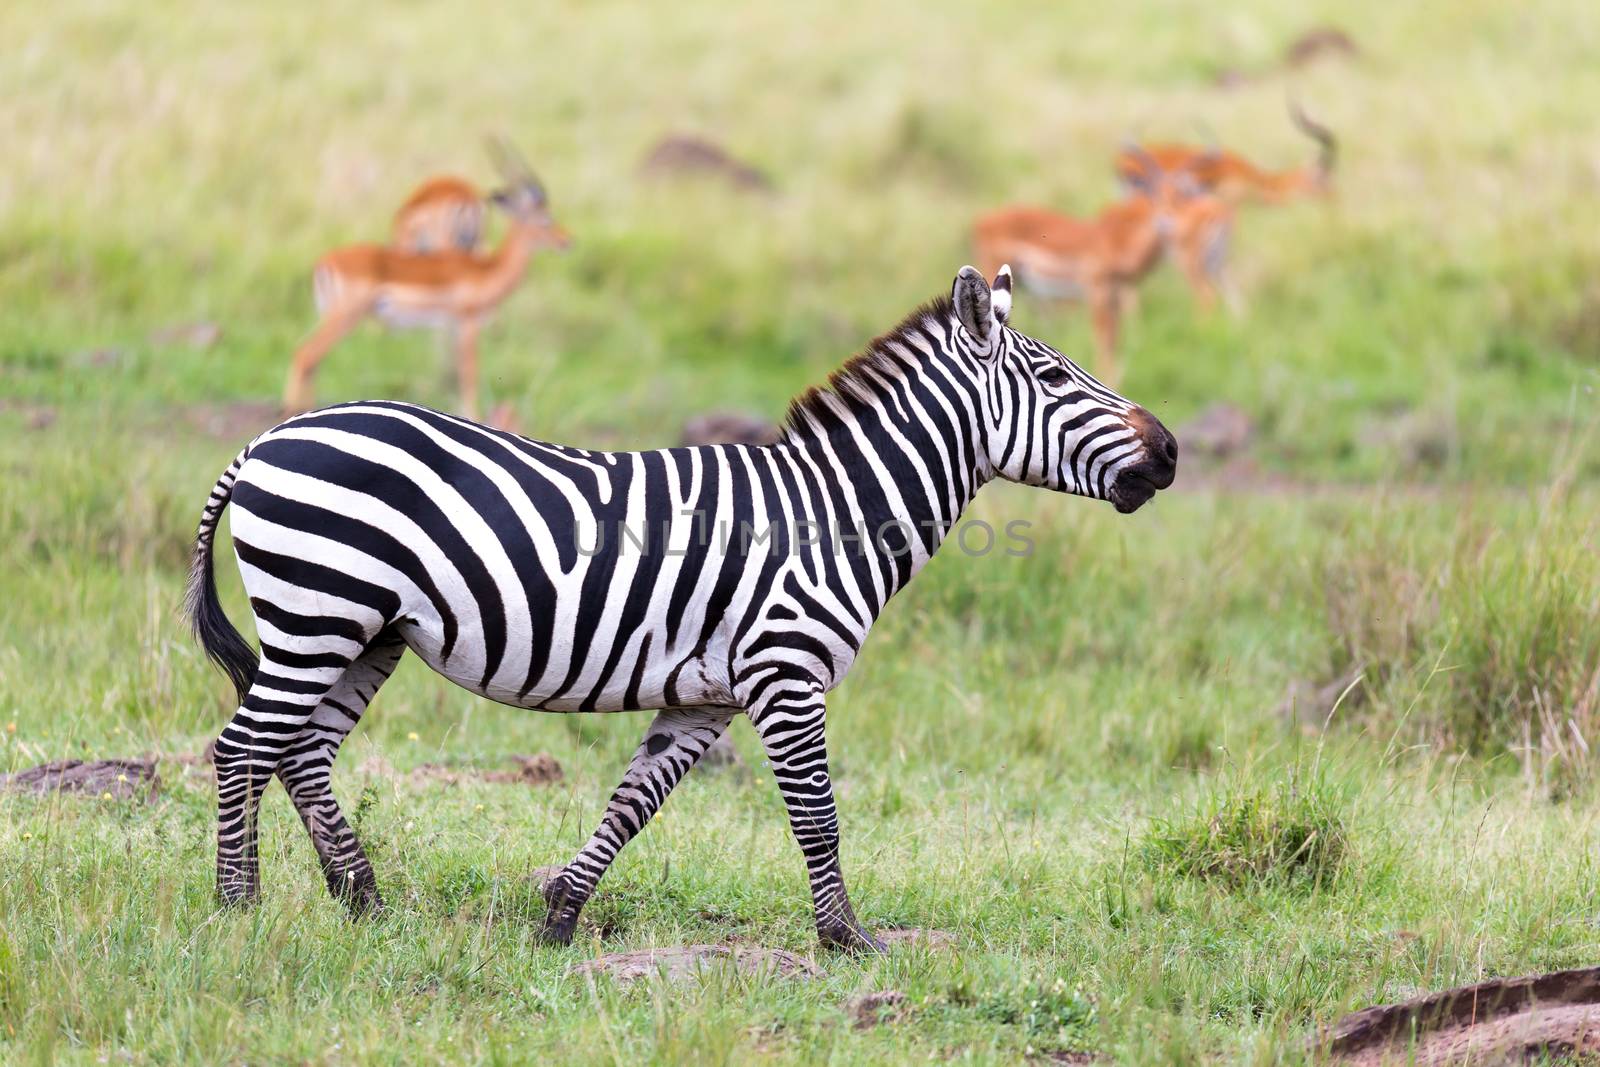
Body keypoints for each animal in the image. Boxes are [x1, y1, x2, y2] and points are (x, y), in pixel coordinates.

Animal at [190, 267, 1177, 953]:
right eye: (1056, 379)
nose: (1169, 451)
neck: (833, 511)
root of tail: (265, 438)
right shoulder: (786, 676)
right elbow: (817, 812)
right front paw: (847, 939)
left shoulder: (705, 697)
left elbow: (634, 804)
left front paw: (558, 919)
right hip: (318, 613)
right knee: (242, 747)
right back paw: (238, 907)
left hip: (367, 631)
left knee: (302, 752)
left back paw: (365, 901)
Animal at [284, 140, 572, 422]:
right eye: (546, 219)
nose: (567, 241)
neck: (487, 270)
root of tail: (324, 262)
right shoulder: (467, 323)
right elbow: (469, 373)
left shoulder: (452, 326)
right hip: (345, 317)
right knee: (304, 355)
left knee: (312, 363)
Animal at [972, 154, 1222, 379]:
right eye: (1153, 194)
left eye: (1181, 195)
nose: (1165, 221)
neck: (1117, 242)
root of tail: (982, 221)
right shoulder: (1096, 290)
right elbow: (1102, 337)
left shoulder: (1115, 295)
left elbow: (1114, 339)